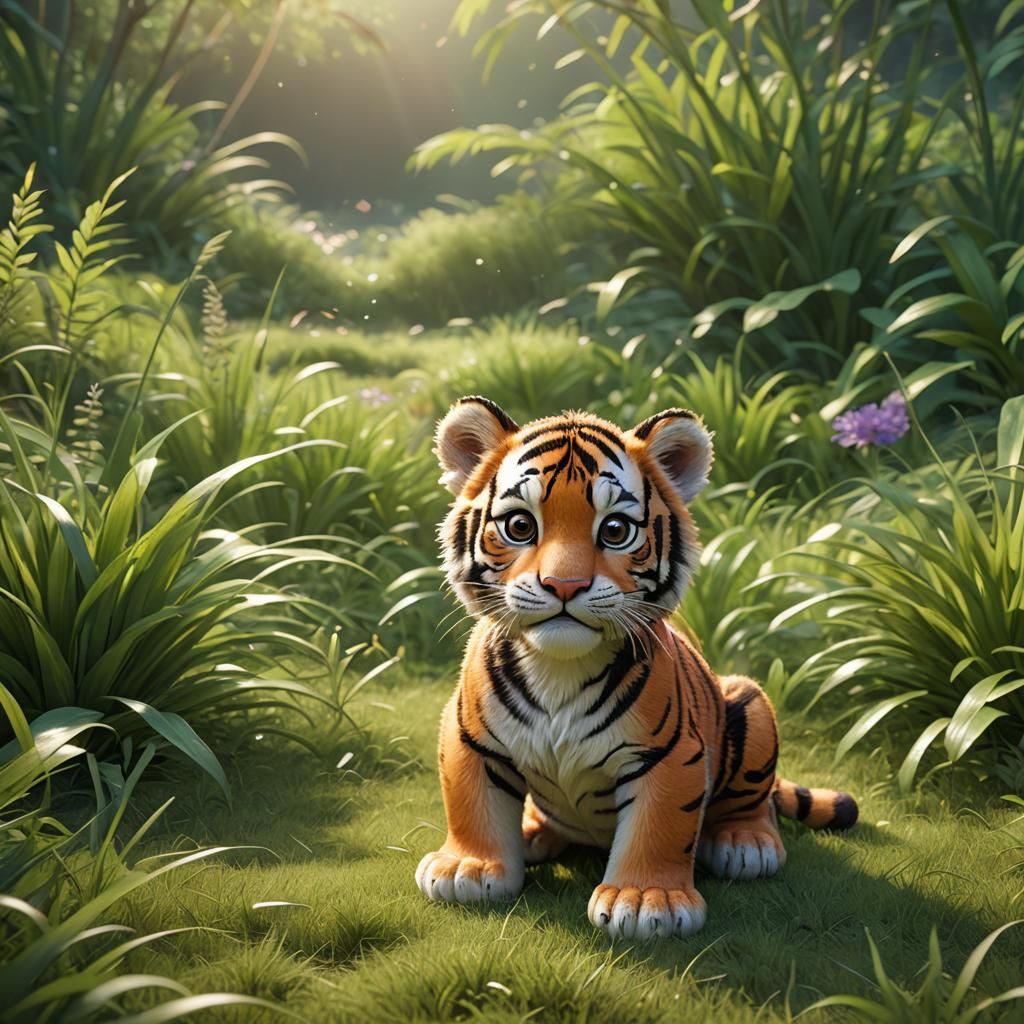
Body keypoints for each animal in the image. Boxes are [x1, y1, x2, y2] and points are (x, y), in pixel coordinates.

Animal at [415, 396, 858, 940]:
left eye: (615, 530)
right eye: (520, 526)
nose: (564, 585)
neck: (558, 669)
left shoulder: (670, 755)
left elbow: (659, 827)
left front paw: (647, 901)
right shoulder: (468, 737)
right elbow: (469, 805)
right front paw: (468, 868)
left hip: (750, 704)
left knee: (754, 802)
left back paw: (745, 843)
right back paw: (533, 834)